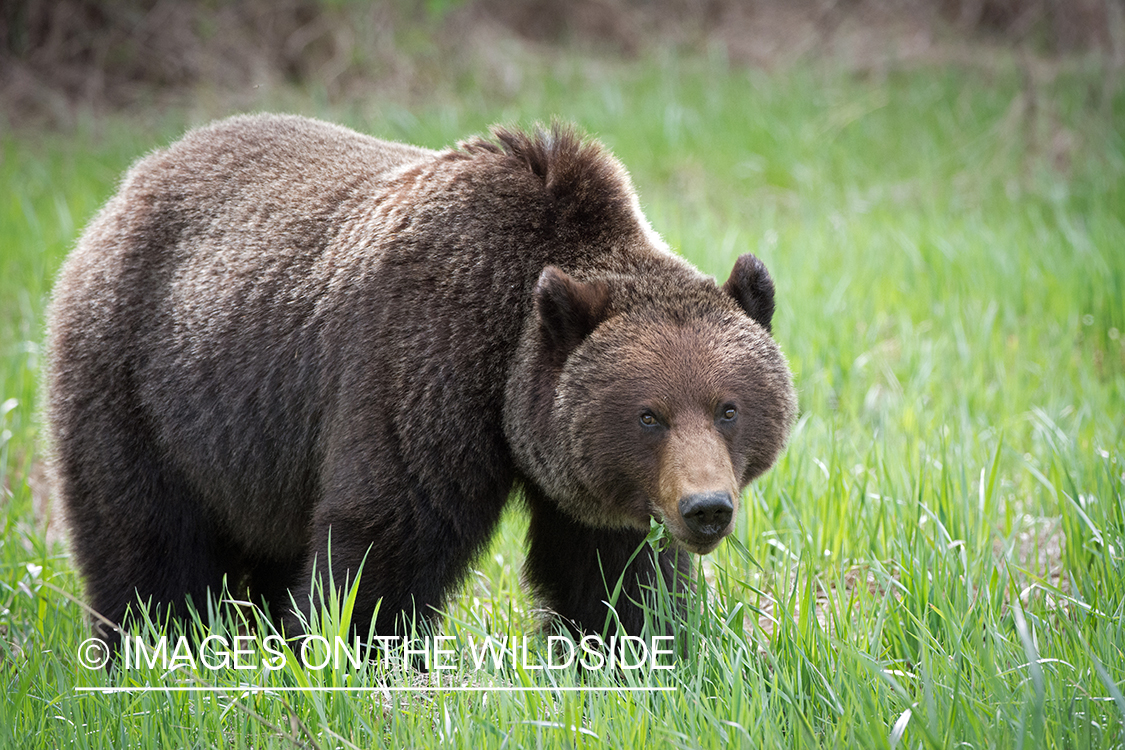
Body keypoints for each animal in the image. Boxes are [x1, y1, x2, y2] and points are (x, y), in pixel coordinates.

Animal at [46, 113, 801, 652]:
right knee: (143, 543)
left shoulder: (592, 482)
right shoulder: (420, 369)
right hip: (140, 385)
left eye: (728, 407)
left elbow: (612, 576)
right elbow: (387, 541)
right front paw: (352, 653)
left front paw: (631, 649)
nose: (706, 508)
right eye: (649, 414)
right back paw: (147, 647)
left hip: (255, 451)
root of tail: (130, 184)